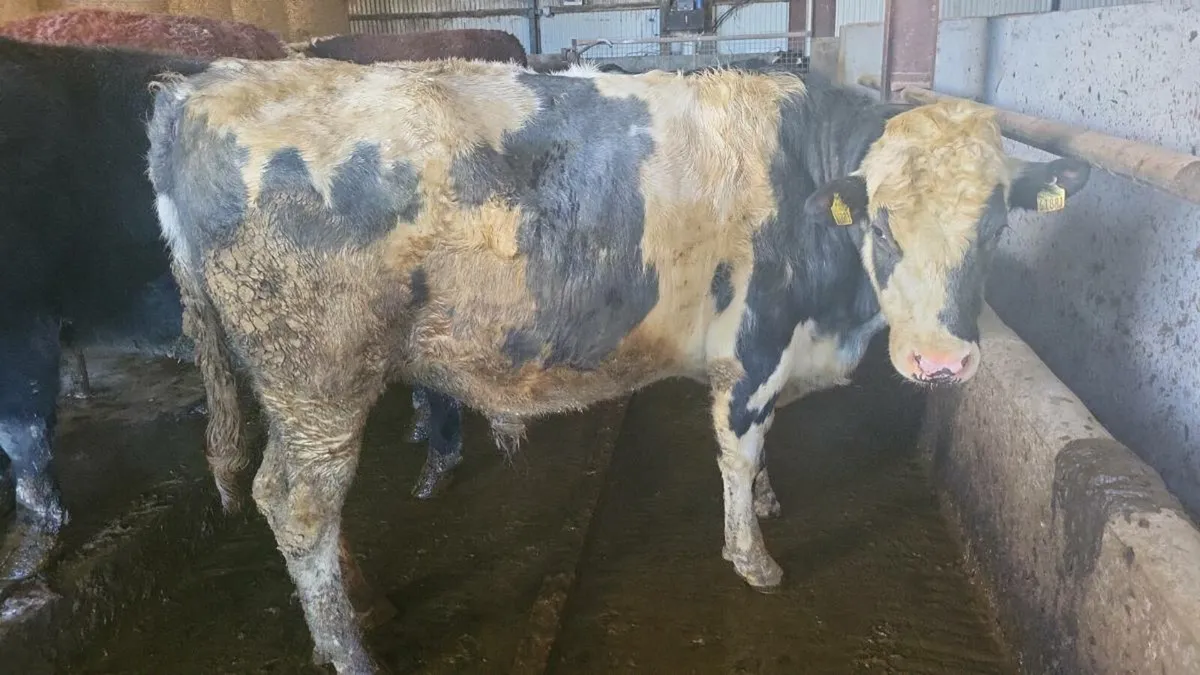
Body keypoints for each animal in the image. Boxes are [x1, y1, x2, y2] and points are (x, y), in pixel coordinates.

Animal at [145, 58, 1091, 672]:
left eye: (997, 224)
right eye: (884, 224)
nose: (941, 361)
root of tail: (203, 86)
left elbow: (764, 450)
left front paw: (768, 499)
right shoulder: (752, 349)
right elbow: (740, 448)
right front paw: (754, 556)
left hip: (299, 390)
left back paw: (360, 603)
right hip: (318, 378)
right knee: (297, 506)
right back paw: (350, 652)